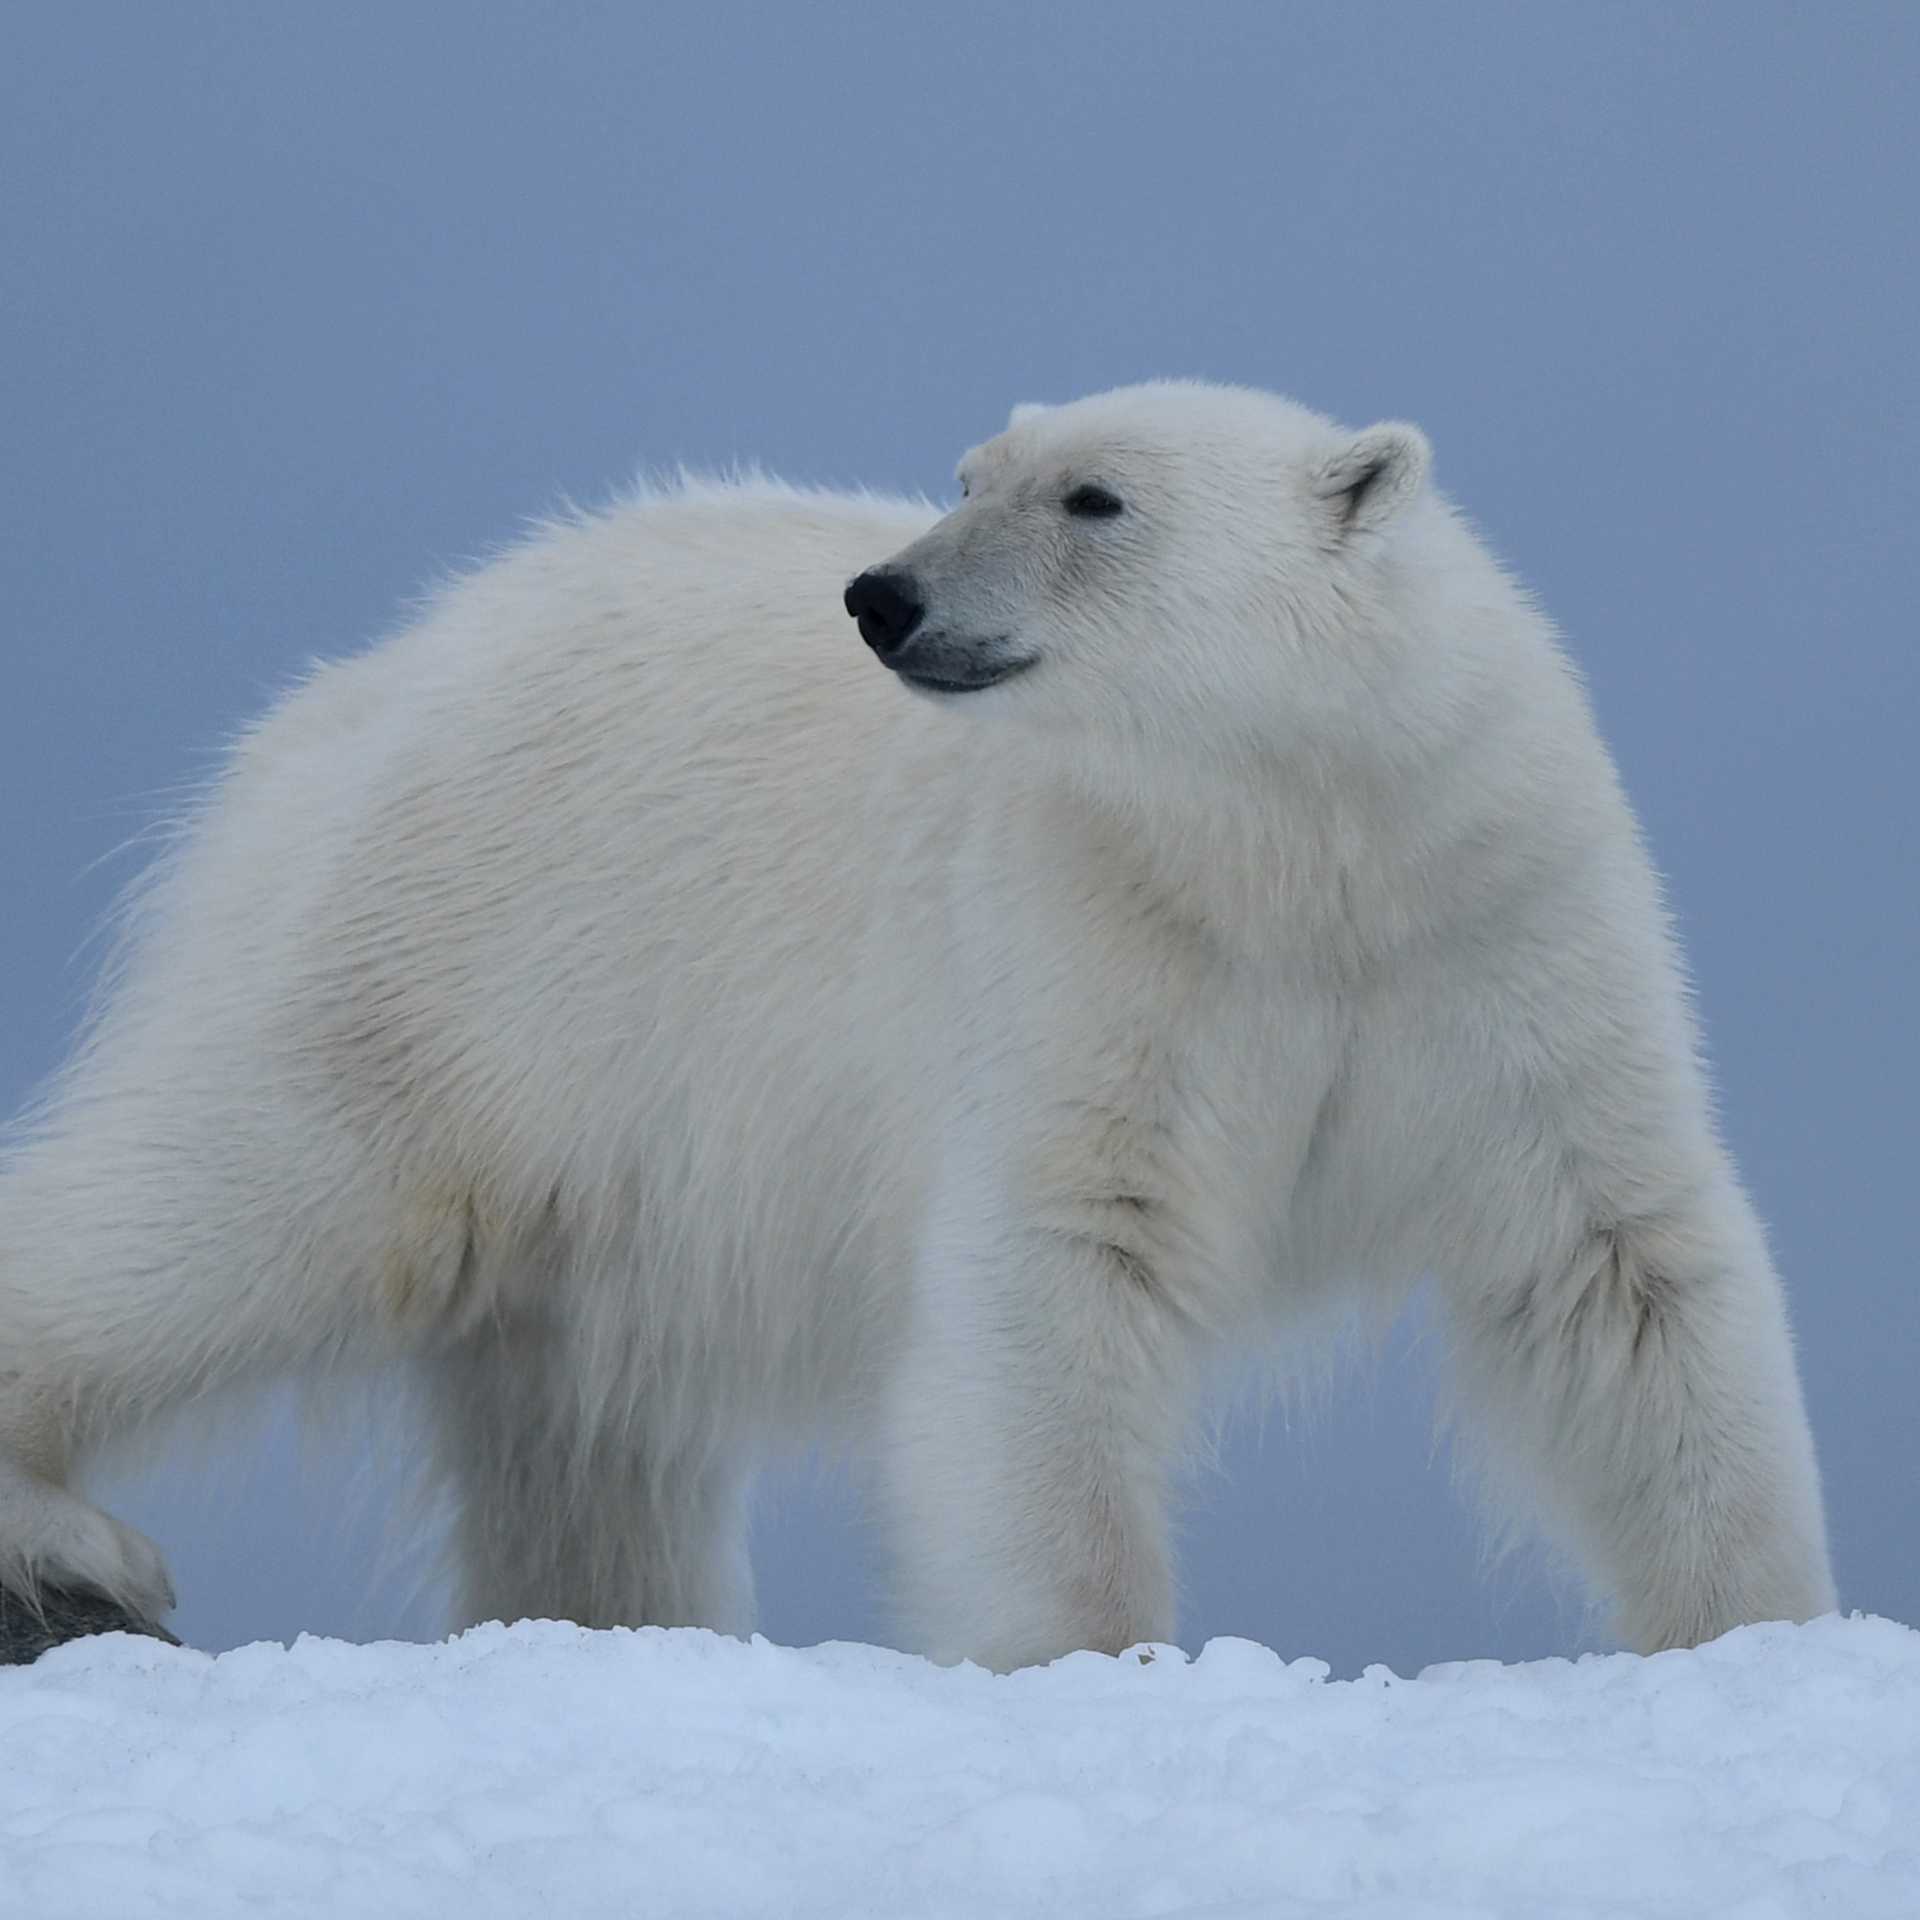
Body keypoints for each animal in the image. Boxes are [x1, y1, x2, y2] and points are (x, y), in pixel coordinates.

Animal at [0, 381, 1836, 1670]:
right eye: (967, 475)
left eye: (1093, 496)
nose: (881, 597)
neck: (1293, 853)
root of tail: (342, 696)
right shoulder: (1087, 934)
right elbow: (1060, 1262)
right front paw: (1094, 1657)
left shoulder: (1492, 928)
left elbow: (1618, 1267)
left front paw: (1763, 1634)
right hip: (459, 964)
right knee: (238, 1207)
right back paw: (73, 1553)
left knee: (576, 1431)